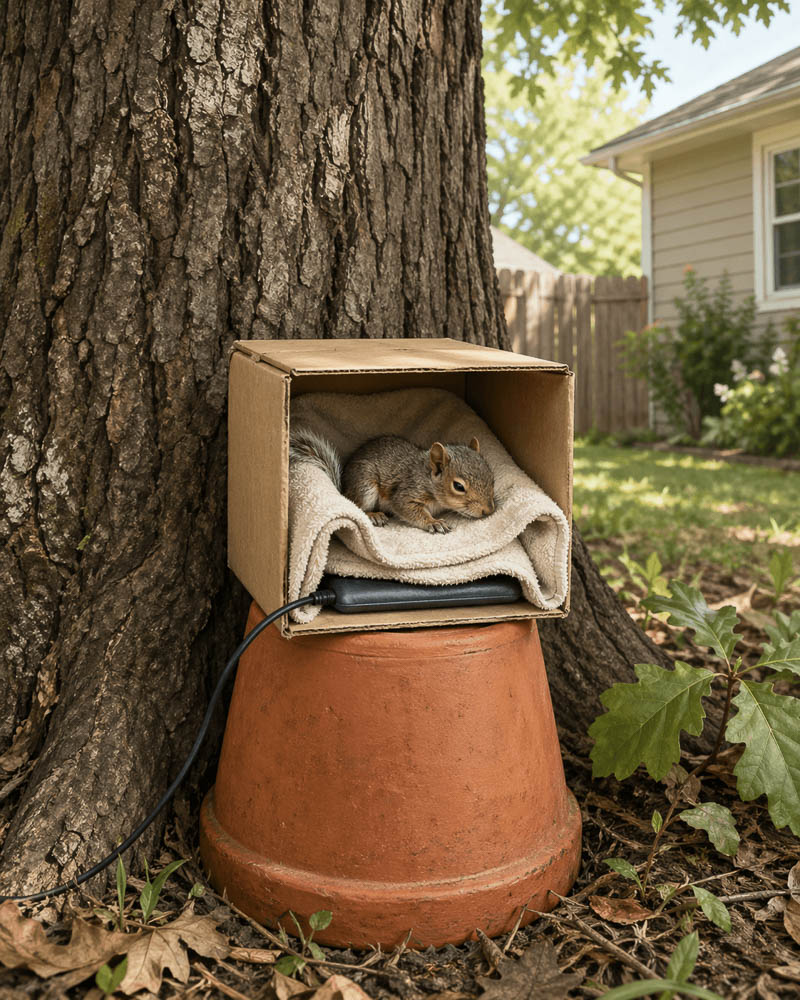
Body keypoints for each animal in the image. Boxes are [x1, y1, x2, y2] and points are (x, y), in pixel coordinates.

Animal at [290, 428, 496, 534]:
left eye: (492, 479)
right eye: (458, 486)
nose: (488, 511)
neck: (427, 477)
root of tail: (344, 489)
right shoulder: (407, 492)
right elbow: (410, 509)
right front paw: (433, 522)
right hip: (365, 485)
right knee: (357, 505)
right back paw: (374, 515)